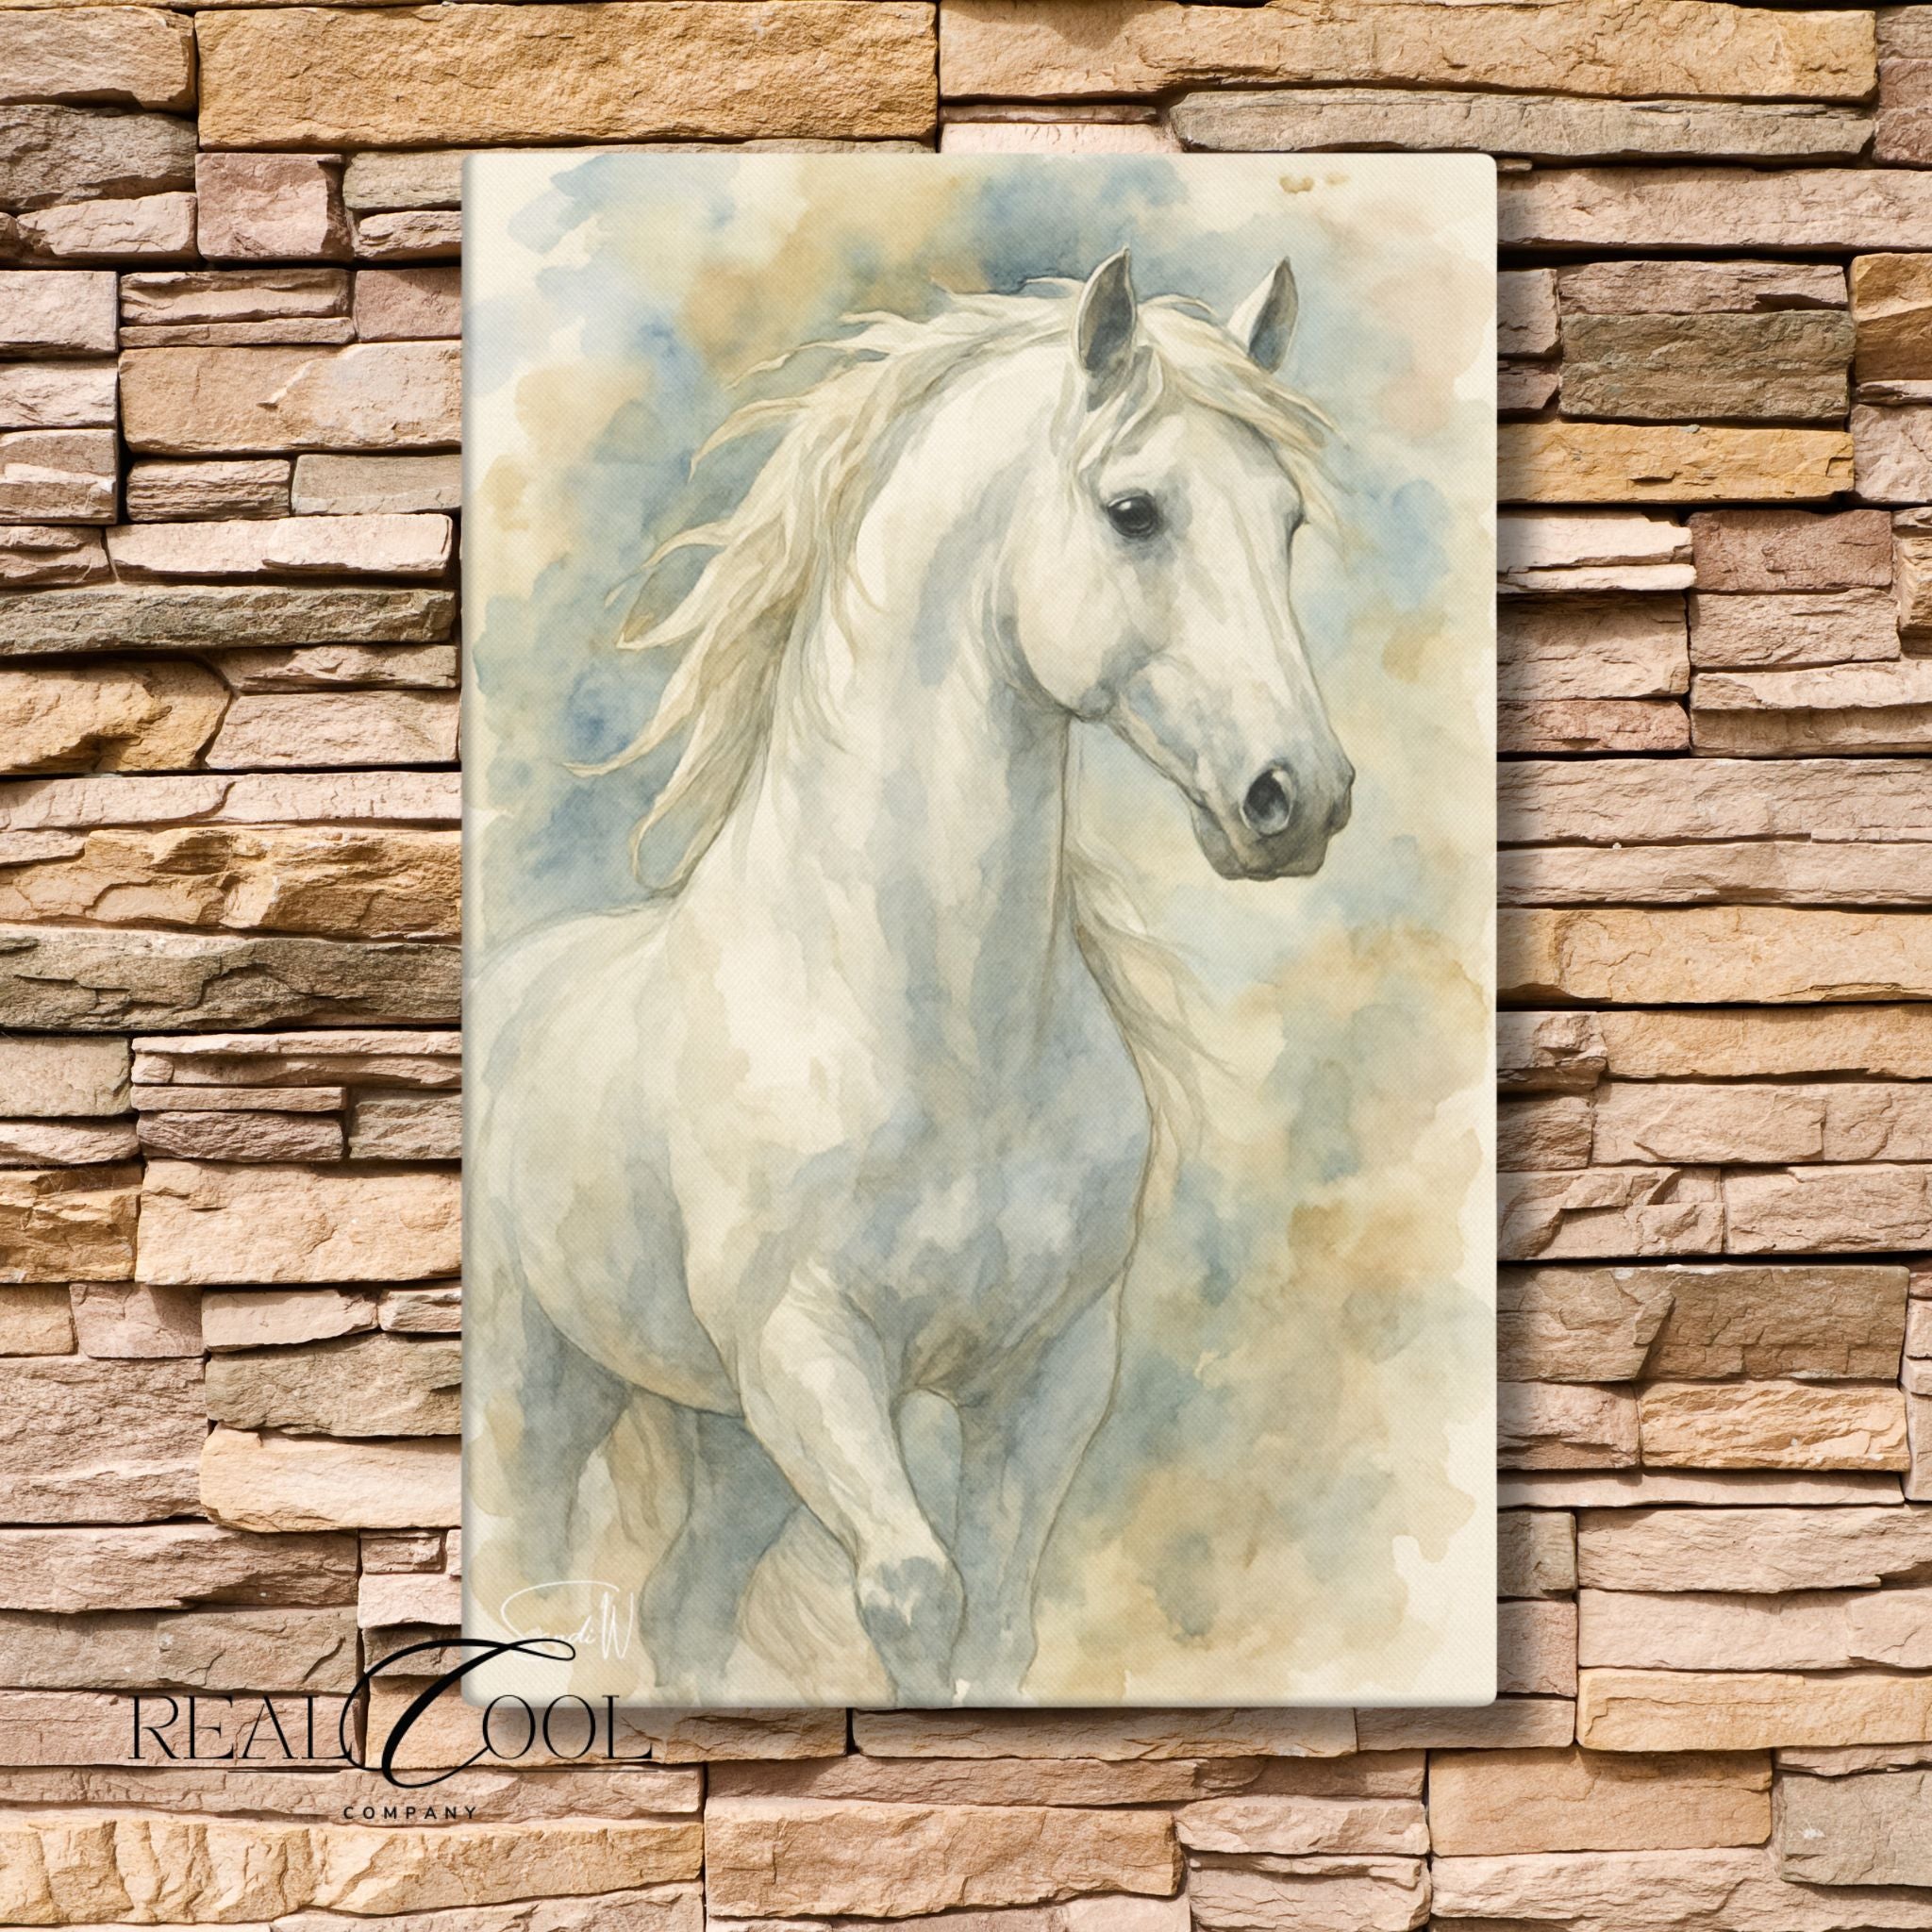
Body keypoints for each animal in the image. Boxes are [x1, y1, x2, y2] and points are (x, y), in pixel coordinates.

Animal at [468, 249, 1356, 1707]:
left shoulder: (1048, 1374)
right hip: (543, 1394)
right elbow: (912, 1590)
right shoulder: (810, 1354)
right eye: (1134, 511)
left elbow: (994, 1622)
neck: (942, 1037)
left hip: (730, 1434)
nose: (1297, 796)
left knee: (683, 1606)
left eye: (1284, 521)